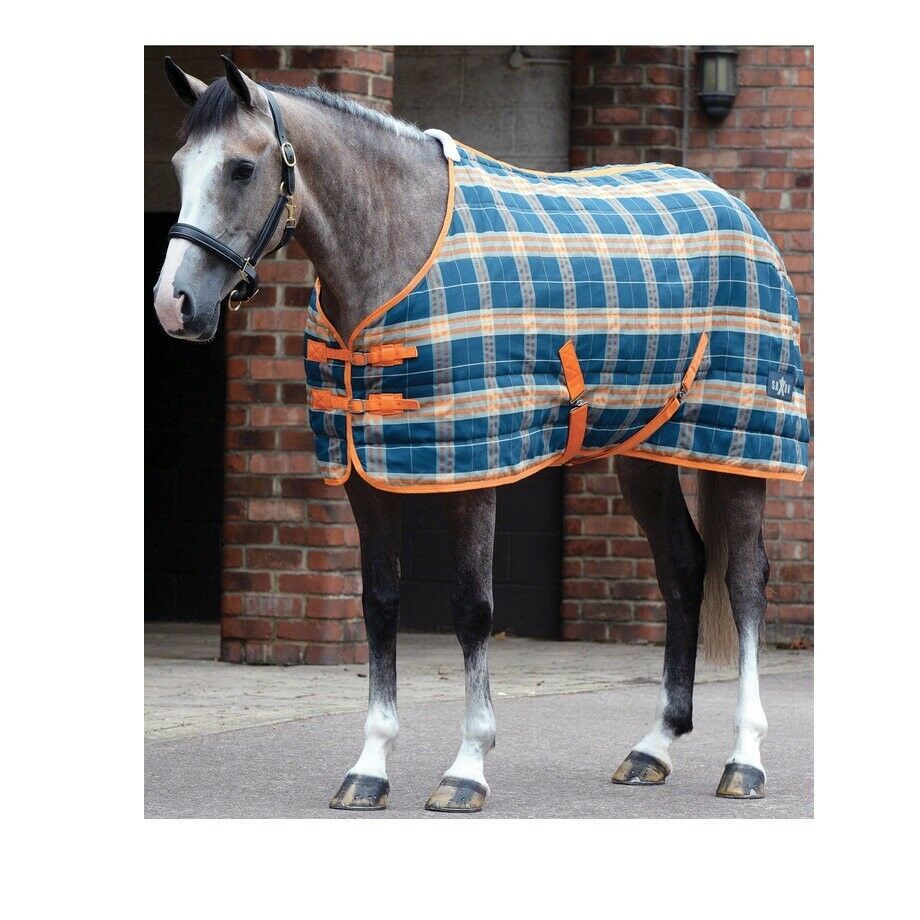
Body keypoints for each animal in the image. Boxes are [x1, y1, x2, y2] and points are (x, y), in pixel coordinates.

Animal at [153, 55, 808, 813]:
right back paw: (653, 747)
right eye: (179, 165)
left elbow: (472, 608)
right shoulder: (365, 469)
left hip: (748, 445)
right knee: (682, 567)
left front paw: (466, 768)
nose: (174, 305)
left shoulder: (476, 467)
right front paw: (369, 769)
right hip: (643, 453)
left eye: (239, 168)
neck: (398, 250)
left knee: (746, 582)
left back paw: (744, 760)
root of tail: (736, 207)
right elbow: (379, 605)